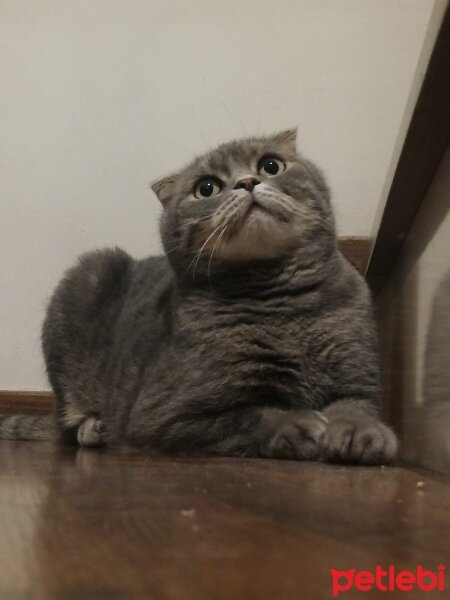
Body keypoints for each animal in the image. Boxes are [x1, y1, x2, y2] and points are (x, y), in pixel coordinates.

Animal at [1, 130, 400, 464]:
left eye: (271, 165)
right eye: (207, 188)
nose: (247, 182)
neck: (285, 306)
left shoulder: (356, 380)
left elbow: (356, 408)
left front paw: (360, 432)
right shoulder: (164, 414)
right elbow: (252, 415)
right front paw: (296, 424)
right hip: (87, 275)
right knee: (69, 427)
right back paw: (94, 427)